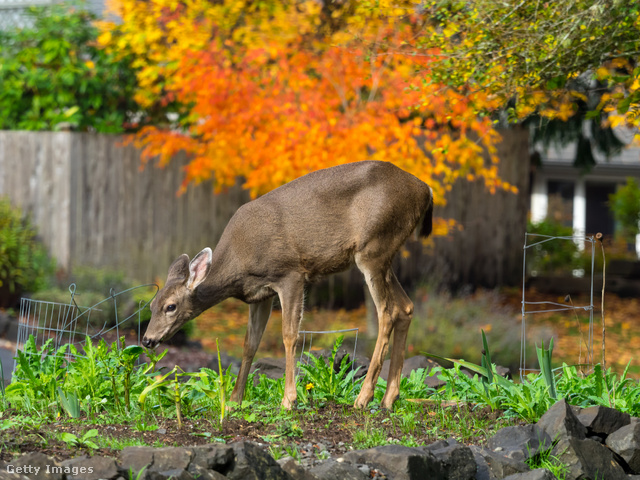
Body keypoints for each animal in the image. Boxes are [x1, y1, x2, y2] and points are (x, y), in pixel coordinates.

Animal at [142, 161, 432, 408]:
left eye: (170, 306)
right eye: (151, 305)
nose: (147, 339)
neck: (239, 263)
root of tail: (425, 190)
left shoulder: (291, 274)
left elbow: (290, 335)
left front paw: (288, 399)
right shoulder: (260, 294)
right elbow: (250, 343)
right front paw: (235, 400)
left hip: (373, 247)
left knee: (387, 312)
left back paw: (363, 398)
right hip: (385, 254)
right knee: (406, 307)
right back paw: (388, 399)